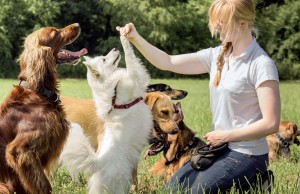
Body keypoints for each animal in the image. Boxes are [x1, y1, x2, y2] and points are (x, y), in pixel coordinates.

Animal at [0, 23, 86, 193]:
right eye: (55, 33)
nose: (78, 25)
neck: (38, 91)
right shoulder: (20, 151)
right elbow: (44, 185)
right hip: (3, 187)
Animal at [58, 35, 152, 193]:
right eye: (103, 59)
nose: (114, 48)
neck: (113, 88)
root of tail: (98, 163)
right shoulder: (135, 77)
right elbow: (130, 57)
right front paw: (124, 38)